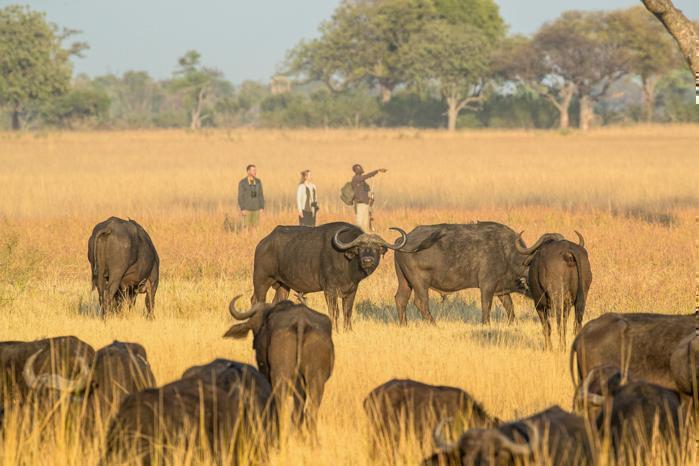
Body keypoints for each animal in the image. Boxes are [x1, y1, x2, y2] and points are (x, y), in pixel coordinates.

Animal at [224, 297, 334, 435]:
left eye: (257, 326)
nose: (255, 344)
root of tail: (301, 321)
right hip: (316, 379)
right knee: (309, 411)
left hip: (280, 376)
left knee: (282, 407)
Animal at [251, 222, 408, 330]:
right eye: (360, 248)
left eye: (376, 248)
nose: (367, 260)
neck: (347, 264)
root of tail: (262, 243)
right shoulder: (330, 290)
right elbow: (334, 312)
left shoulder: (351, 290)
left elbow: (347, 311)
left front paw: (348, 330)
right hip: (261, 281)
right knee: (256, 301)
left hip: (283, 286)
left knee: (276, 302)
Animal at [393, 222, 531, 325]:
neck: (507, 253)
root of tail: (403, 239)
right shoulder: (487, 286)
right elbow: (486, 306)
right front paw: (486, 324)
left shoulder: (501, 289)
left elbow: (509, 306)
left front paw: (512, 323)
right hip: (419, 283)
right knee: (421, 302)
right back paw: (434, 324)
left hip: (405, 281)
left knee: (401, 299)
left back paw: (404, 324)